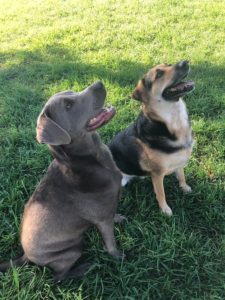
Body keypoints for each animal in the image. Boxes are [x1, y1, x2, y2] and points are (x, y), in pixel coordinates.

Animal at [0, 81, 125, 280]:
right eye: (68, 106)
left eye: (71, 92)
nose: (98, 83)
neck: (88, 160)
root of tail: (25, 256)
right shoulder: (102, 220)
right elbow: (110, 243)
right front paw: (118, 257)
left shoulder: (108, 209)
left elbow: (114, 214)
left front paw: (119, 218)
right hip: (71, 251)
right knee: (58, 277)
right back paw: (83, 268)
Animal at [110, 61, 194, 216]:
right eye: (159, 74)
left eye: (168, 64)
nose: (185, 62)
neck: (172, 121)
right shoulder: (157, 174)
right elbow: (161, 194)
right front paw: (165, 210)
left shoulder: (179, 162)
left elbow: (181, 176)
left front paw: (185, 188)